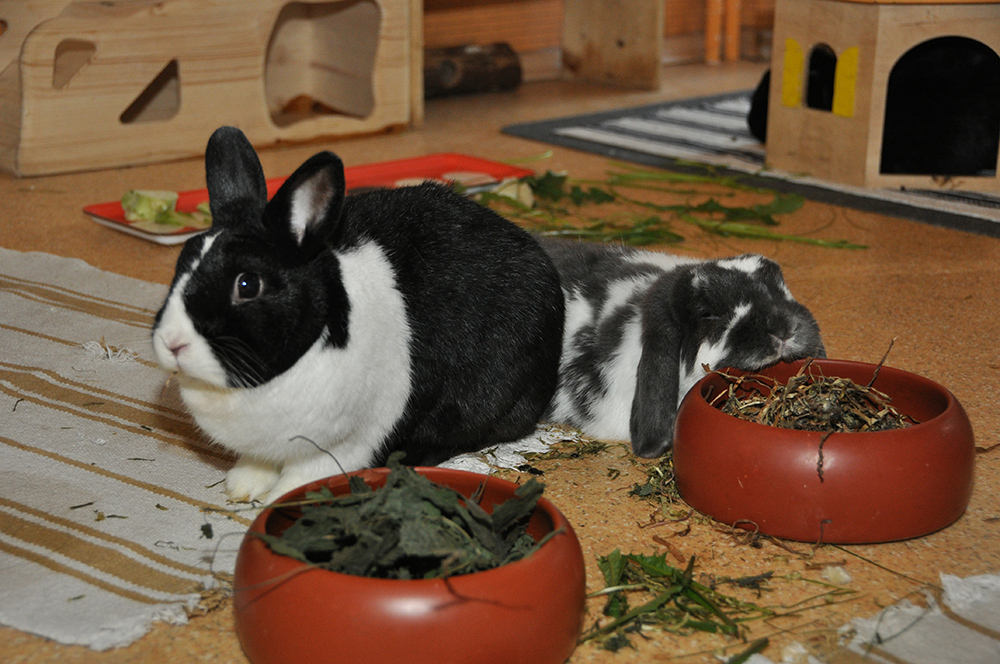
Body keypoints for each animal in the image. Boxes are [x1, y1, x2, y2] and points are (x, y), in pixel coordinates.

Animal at [152, 126, 568, 504]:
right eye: (180, 264)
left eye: (247, 284)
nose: (173, 343)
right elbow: (258, 464)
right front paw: (242, 487)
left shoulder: (345, 444)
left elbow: (305, 478)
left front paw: (276, 502)